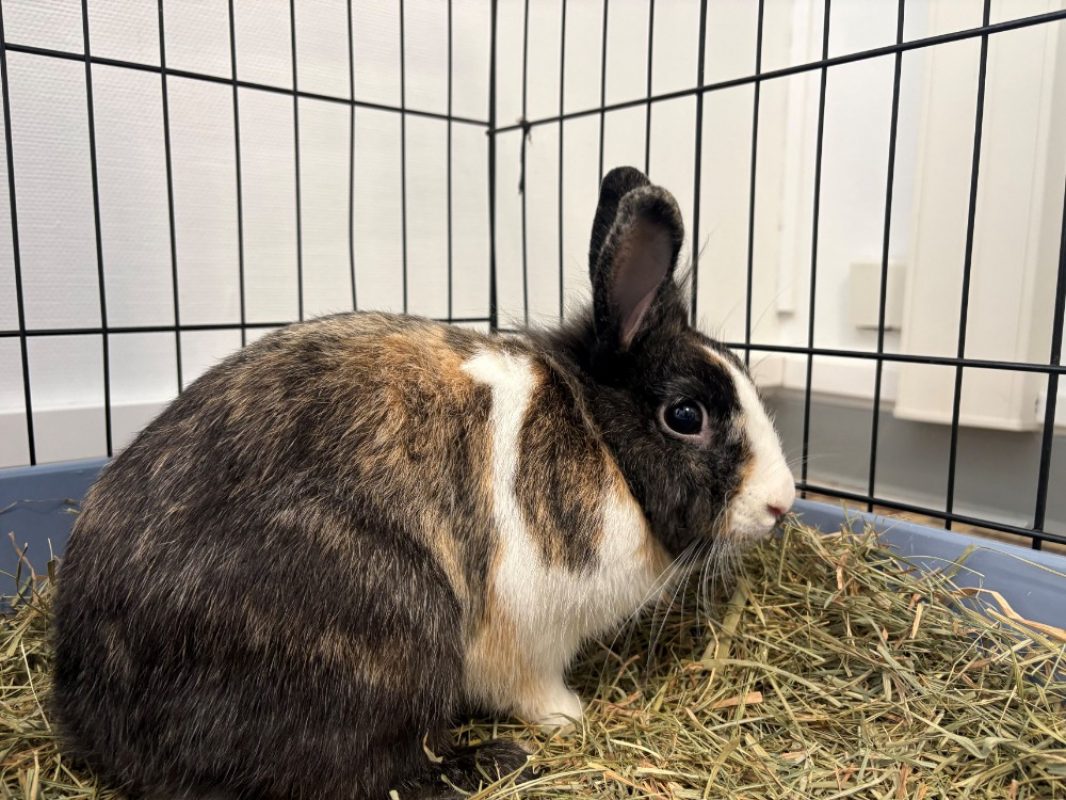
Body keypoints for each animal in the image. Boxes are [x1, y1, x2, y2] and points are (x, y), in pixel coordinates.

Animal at [51, 165, 796, 800]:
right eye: (685, 416)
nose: (783, 504)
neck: (601, 440)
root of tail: (91, 703)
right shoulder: (529, 637)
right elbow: (534, 689)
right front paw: (570, 716)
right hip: (395, 622)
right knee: (360, 775)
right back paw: (491, 761)